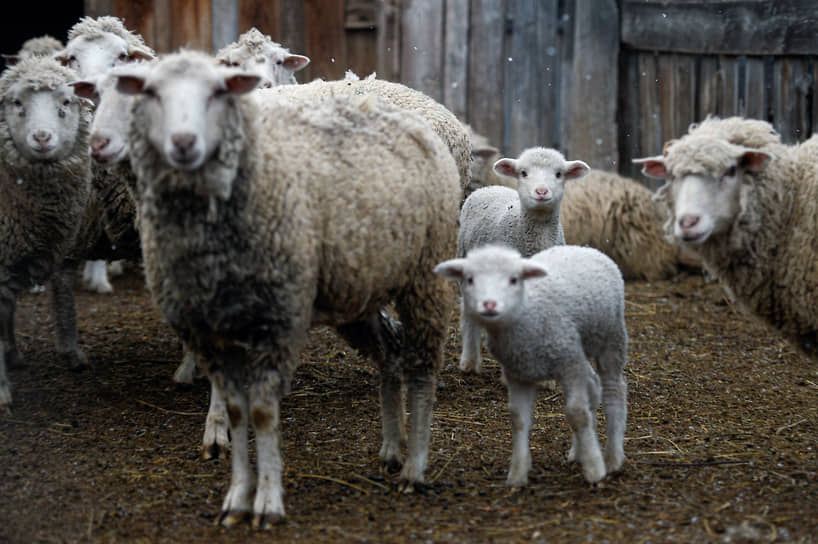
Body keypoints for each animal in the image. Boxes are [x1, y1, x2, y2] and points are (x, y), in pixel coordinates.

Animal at [112, 50, 462, 528]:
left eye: (219, 91)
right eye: (149, 91)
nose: (184, 142)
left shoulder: (275, 321)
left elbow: (262, 413)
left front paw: (267, 501)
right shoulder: (208, 330)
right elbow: (237, 412)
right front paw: (237, 498)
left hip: (425, 277)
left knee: (424, 369)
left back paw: (415, 467)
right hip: (358, 291)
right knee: (390, 355)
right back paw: (392, 448)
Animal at [434, 244, 624, 486]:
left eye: (514, 279)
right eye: (469, 279)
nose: (489, 304)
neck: (526, 312)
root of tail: (583, 247)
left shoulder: (569, 365)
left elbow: (577, 414)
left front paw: (594, 469)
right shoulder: (518, 374)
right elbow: (518, 420)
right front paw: (517, 473)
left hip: (612, 338)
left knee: (614, 392)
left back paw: (613, 457)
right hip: (580, 351)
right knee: (593, 385)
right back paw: (578, 451)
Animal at [456, 147, 588, 372]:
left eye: (559, 174)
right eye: (523, 173)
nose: (541, 192)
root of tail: (489, 187)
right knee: (468, 315)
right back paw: (469, 361)